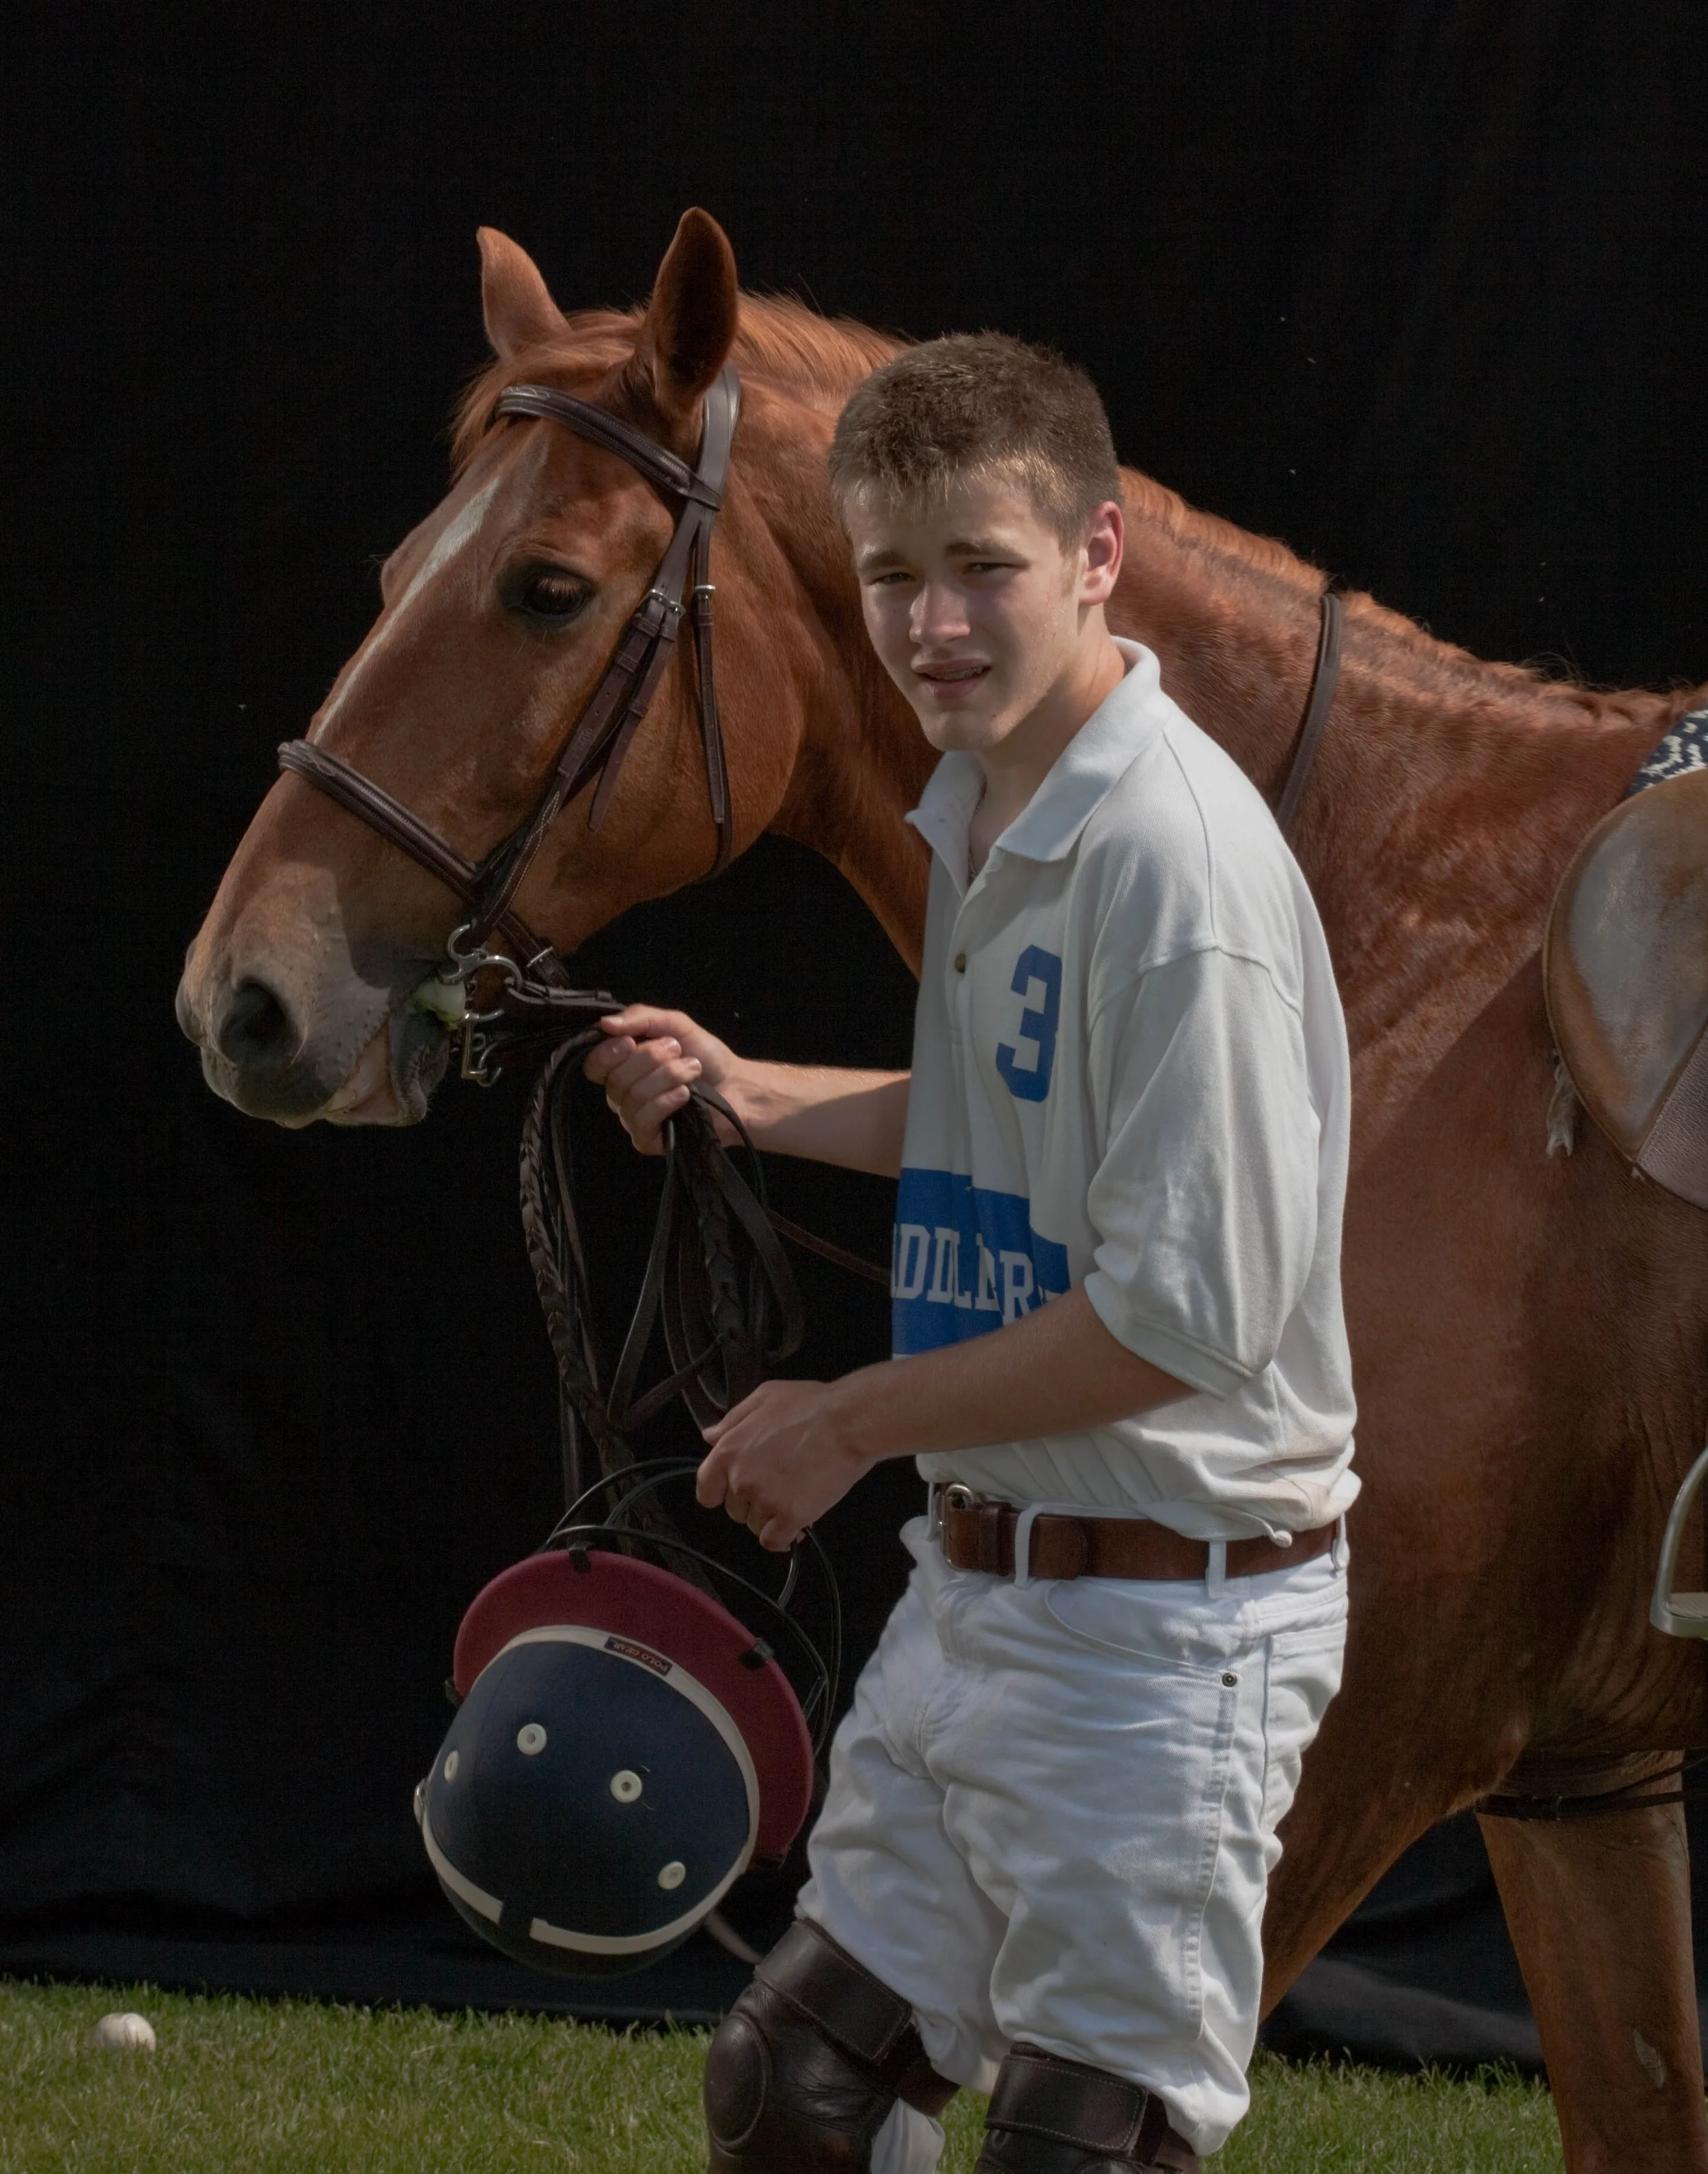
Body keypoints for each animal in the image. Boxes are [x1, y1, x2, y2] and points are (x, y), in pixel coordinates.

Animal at [176, 208, 1708, 2172]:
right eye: (394, 571)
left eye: (546, 589)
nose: (246, 997)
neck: (1372, 938)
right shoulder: (1582, 1784)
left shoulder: (1342, 1747)